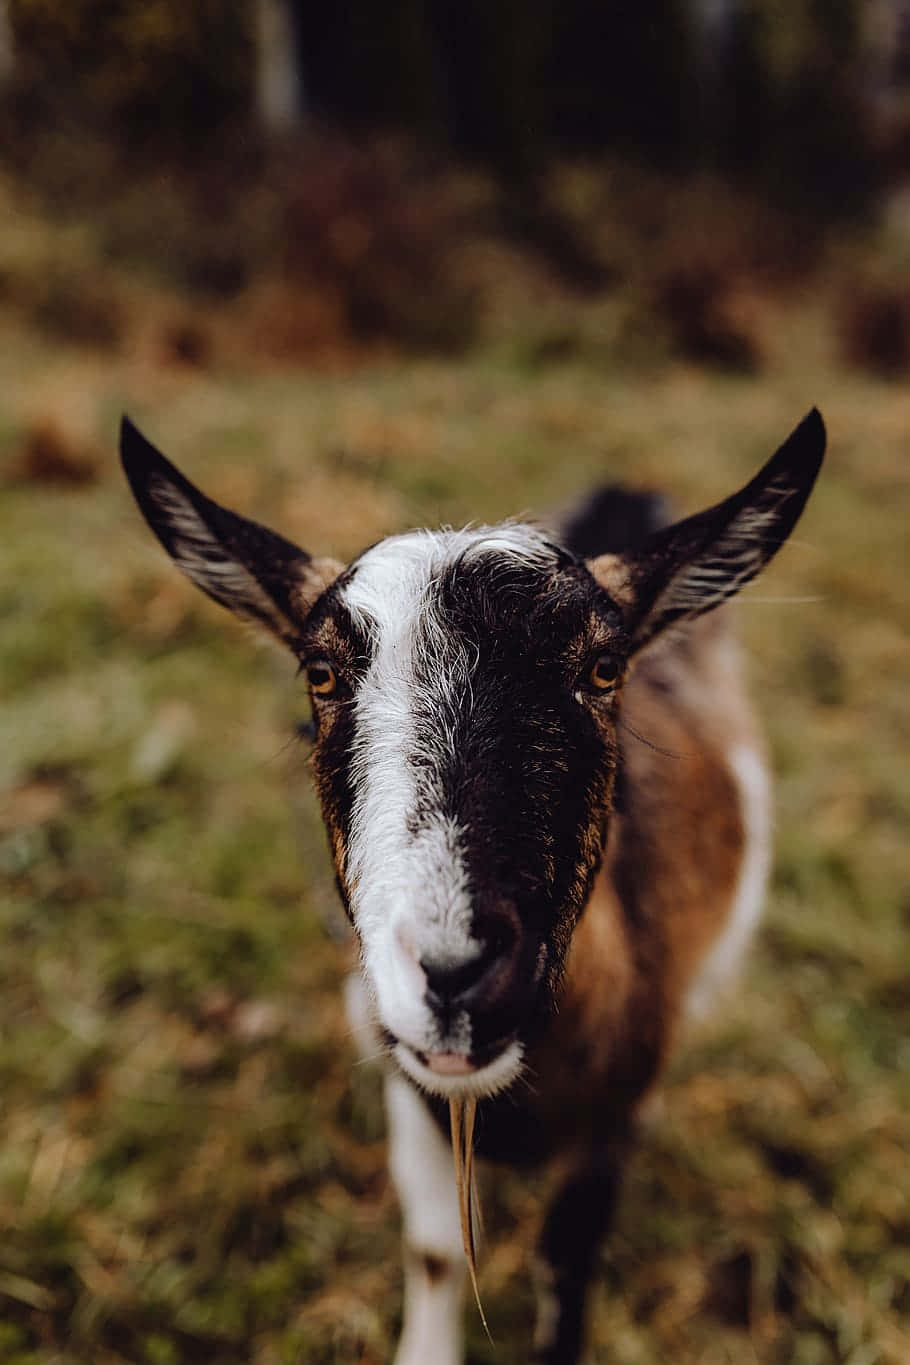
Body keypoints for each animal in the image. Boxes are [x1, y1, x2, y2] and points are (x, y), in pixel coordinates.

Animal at [119, 412, 824, 1365]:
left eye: (605, 668)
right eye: (320, 672)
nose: (457, 973)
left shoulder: (615, 1116)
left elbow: (566, 1264)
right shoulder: (407, 1082)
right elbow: (436, 1249)